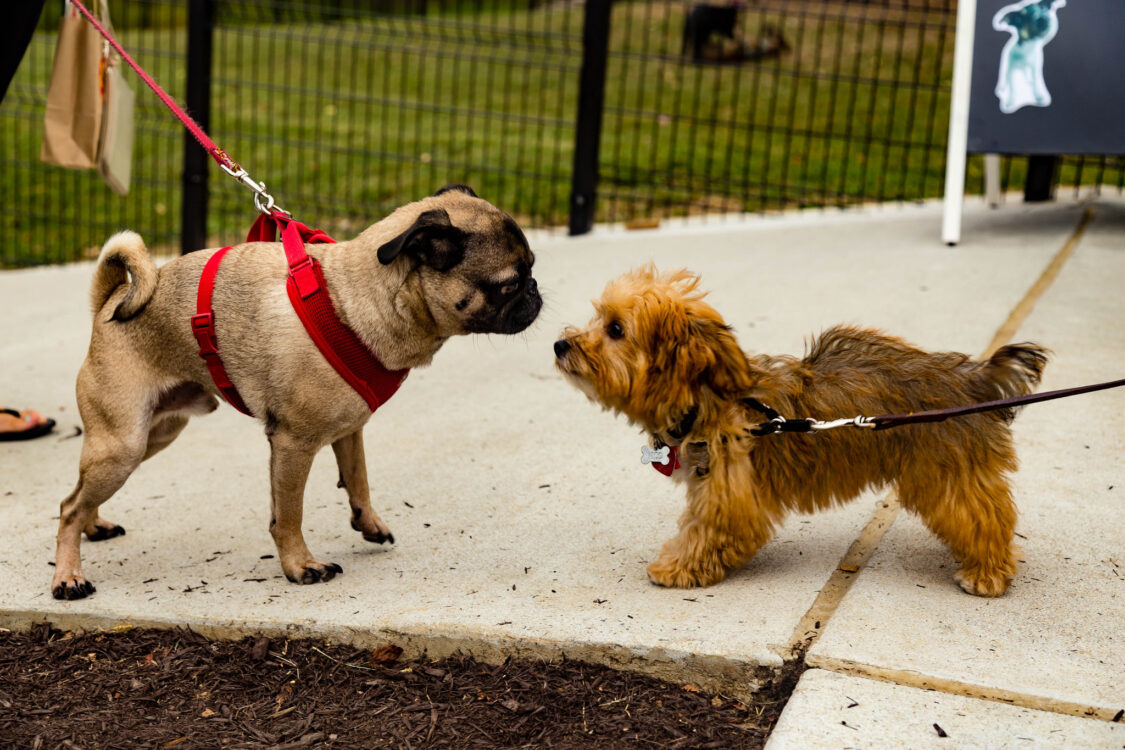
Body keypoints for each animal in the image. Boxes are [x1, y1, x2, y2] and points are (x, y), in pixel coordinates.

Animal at [553, 266, 1044, 593]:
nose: (559, 344)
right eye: (598, 319)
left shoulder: (728, 492)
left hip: (948, 474)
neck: (706, 396)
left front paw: (677, 568)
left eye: (616, 329)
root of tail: (968, 377)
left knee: (985, 515)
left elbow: (706, 530)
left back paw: (988, 572)